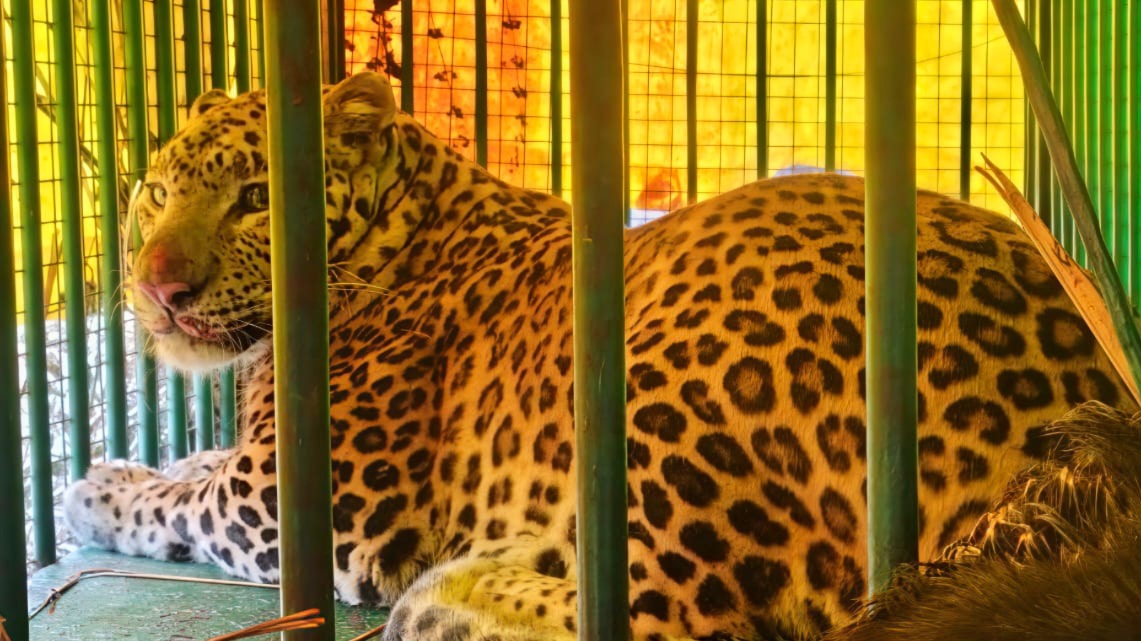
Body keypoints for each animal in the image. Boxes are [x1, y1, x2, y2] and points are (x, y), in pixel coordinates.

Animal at [62, 70, 1131, 641]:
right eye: (156, 191)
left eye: (254, 198)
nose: (157, 287)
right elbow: (192, 465)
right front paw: (125, 467)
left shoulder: (307, 502)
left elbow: (180, 504)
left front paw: (91, 493)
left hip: (667, 379)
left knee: (676, 626)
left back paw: (447, 596)